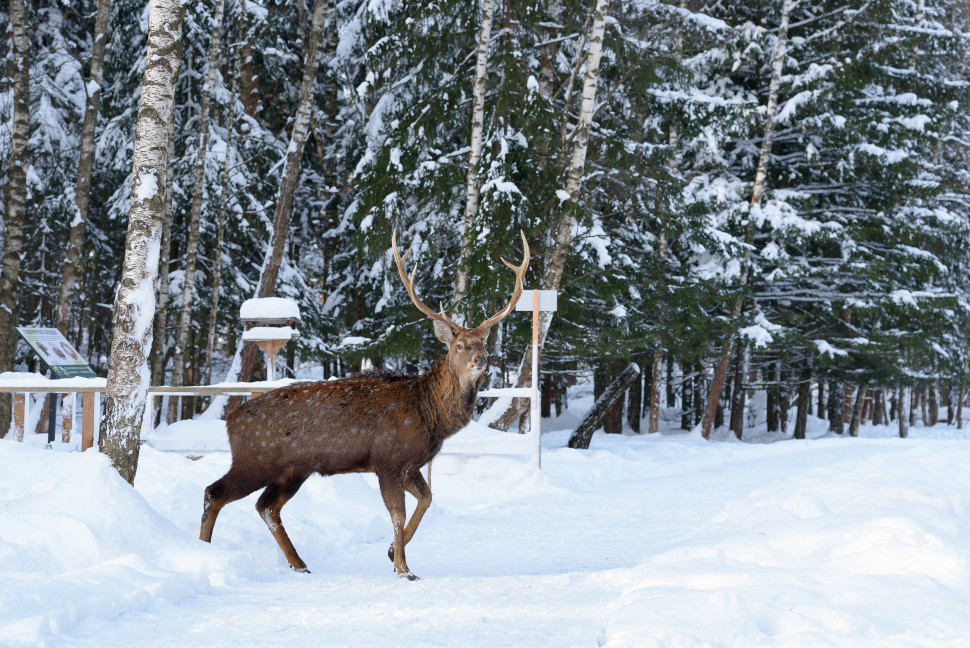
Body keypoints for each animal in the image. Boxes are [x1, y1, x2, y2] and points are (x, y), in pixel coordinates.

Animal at [199, 229, 529, 580]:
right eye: (460, 345)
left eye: (484, 343)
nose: (481, 359)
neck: (430, 414)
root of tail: (230, 419)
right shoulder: (388, 460)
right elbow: (398, 513)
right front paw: (403, 568)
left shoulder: (409, 464)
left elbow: (427, 499)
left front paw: (391, 553)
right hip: (254, 460)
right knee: (215, 492)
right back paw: (204, 550)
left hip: (293, 470)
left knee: (266, 505)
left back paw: (299, 563)